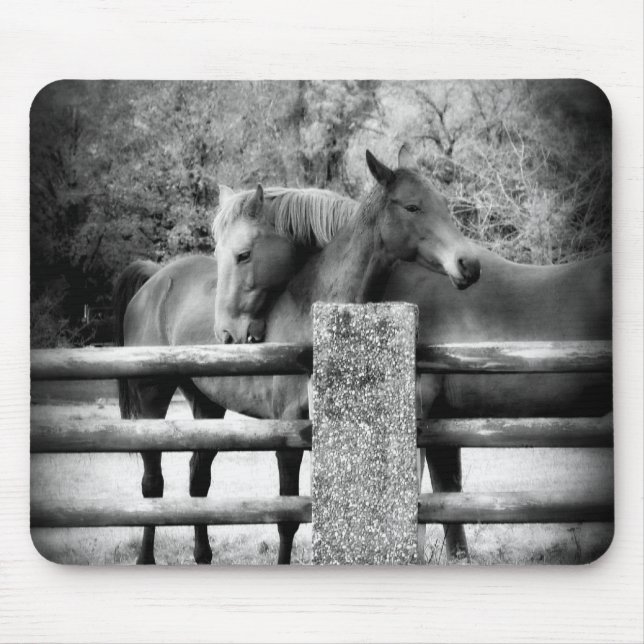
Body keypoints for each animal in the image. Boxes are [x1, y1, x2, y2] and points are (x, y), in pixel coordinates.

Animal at [115, 145, 481, 564]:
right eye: (413, 206)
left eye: (443, 203)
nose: (469, 264)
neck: (313, 314)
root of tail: (155, 280)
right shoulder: (287, 432)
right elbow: (288, 516)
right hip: (152, 399)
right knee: (152, 485)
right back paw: (146, 557)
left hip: (206, 404)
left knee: (197, 480)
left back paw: (203, 555)